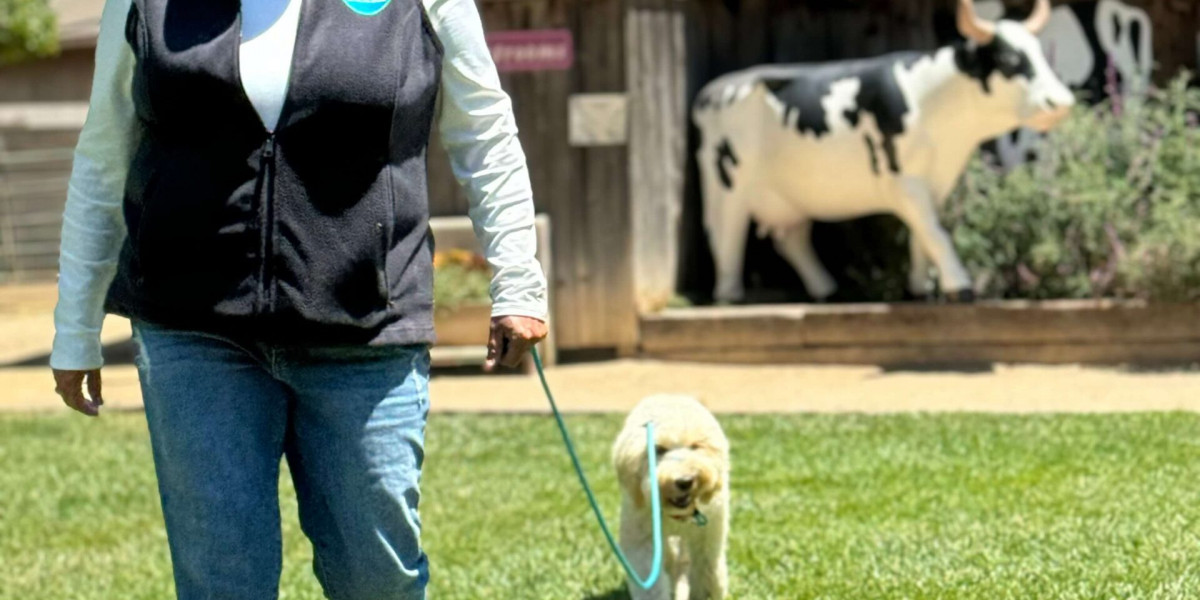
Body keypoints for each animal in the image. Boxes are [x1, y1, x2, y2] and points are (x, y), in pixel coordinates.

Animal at [614, 396, 724, 597]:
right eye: (658, 449)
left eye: (695, 446)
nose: (685, 481)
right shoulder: (643, 541)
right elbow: (651, 584)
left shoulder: (707, 537)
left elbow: (706, 573)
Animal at [700, 0, 1075, 302]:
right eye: (1009, 59)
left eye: (1041, 55)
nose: (1060, 101)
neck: (932, 103)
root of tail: (712, 91)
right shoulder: (903, 180)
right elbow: (936, 232)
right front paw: (961, 286)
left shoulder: (936, 182)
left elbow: (923, 235)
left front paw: (920, 290)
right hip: (727, 186)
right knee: (726, 237)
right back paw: (730, 297)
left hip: (789, 197)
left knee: (791, 240)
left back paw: (827, 291)